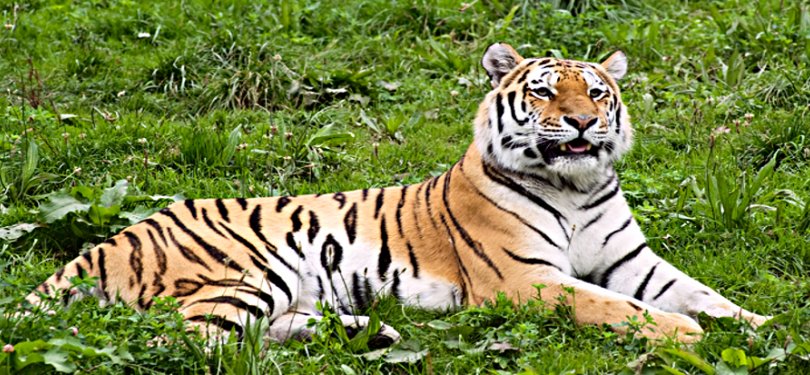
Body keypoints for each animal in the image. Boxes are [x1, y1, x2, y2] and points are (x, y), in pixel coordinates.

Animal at [22, 43, 768, 346]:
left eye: (596, 91)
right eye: (543, 91)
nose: (584, 122)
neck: (575, 187)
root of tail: (115, 237)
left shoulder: (631, 260)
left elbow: (701, 291)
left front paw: (761, 324)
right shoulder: (526, 281)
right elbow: (616, 307)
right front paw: (685, 334)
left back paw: (370, 332)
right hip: (251, 268)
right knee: (194, 338)